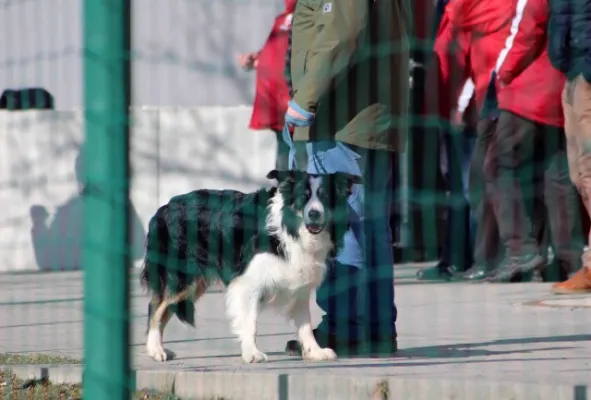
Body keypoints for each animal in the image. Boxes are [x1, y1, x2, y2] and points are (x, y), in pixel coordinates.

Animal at [140, 169, 360, 362]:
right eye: (303, 197)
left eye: (325, 197)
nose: (314, 213)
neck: (290, 229)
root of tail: (164, 207)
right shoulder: (247, 283)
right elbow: (250, 322)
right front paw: (252, 353)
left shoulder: (301, 285)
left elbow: (305, 324)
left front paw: (315, 351)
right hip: (181, 275)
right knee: (156, 307)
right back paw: (155, 349)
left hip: (194, 282)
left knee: (166, 308)